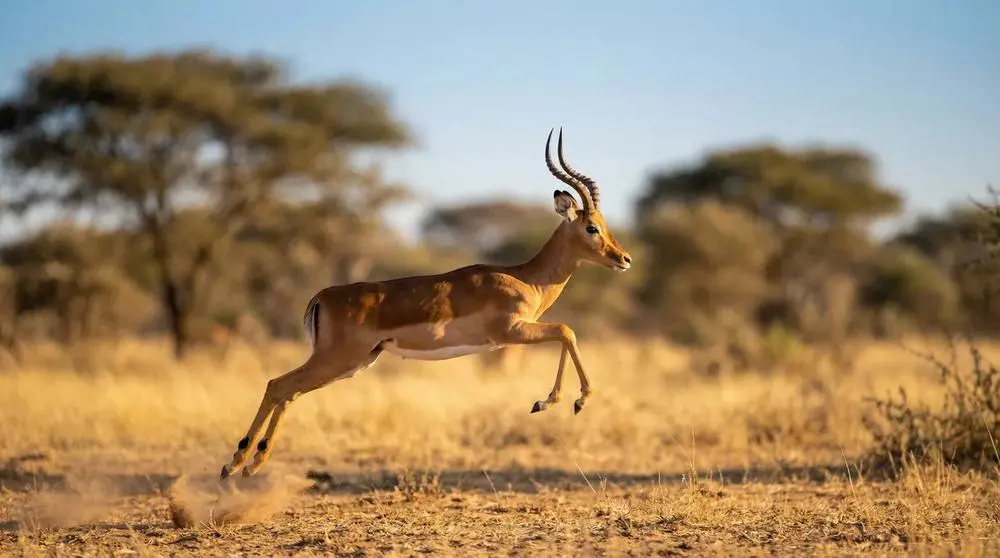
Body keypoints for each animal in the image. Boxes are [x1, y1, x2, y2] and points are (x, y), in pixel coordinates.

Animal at [220, 128, 633, 480]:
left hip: (351, 363)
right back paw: (241, 463)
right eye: (591, 227)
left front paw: (549, 402)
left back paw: (245, 463)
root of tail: (322, 296)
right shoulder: (510, 332)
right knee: (277, 384)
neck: (525, 278)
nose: (624, 259)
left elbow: (564, 333)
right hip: (337, 360)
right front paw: (564, 401)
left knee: (287, 391)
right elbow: (567, 330)